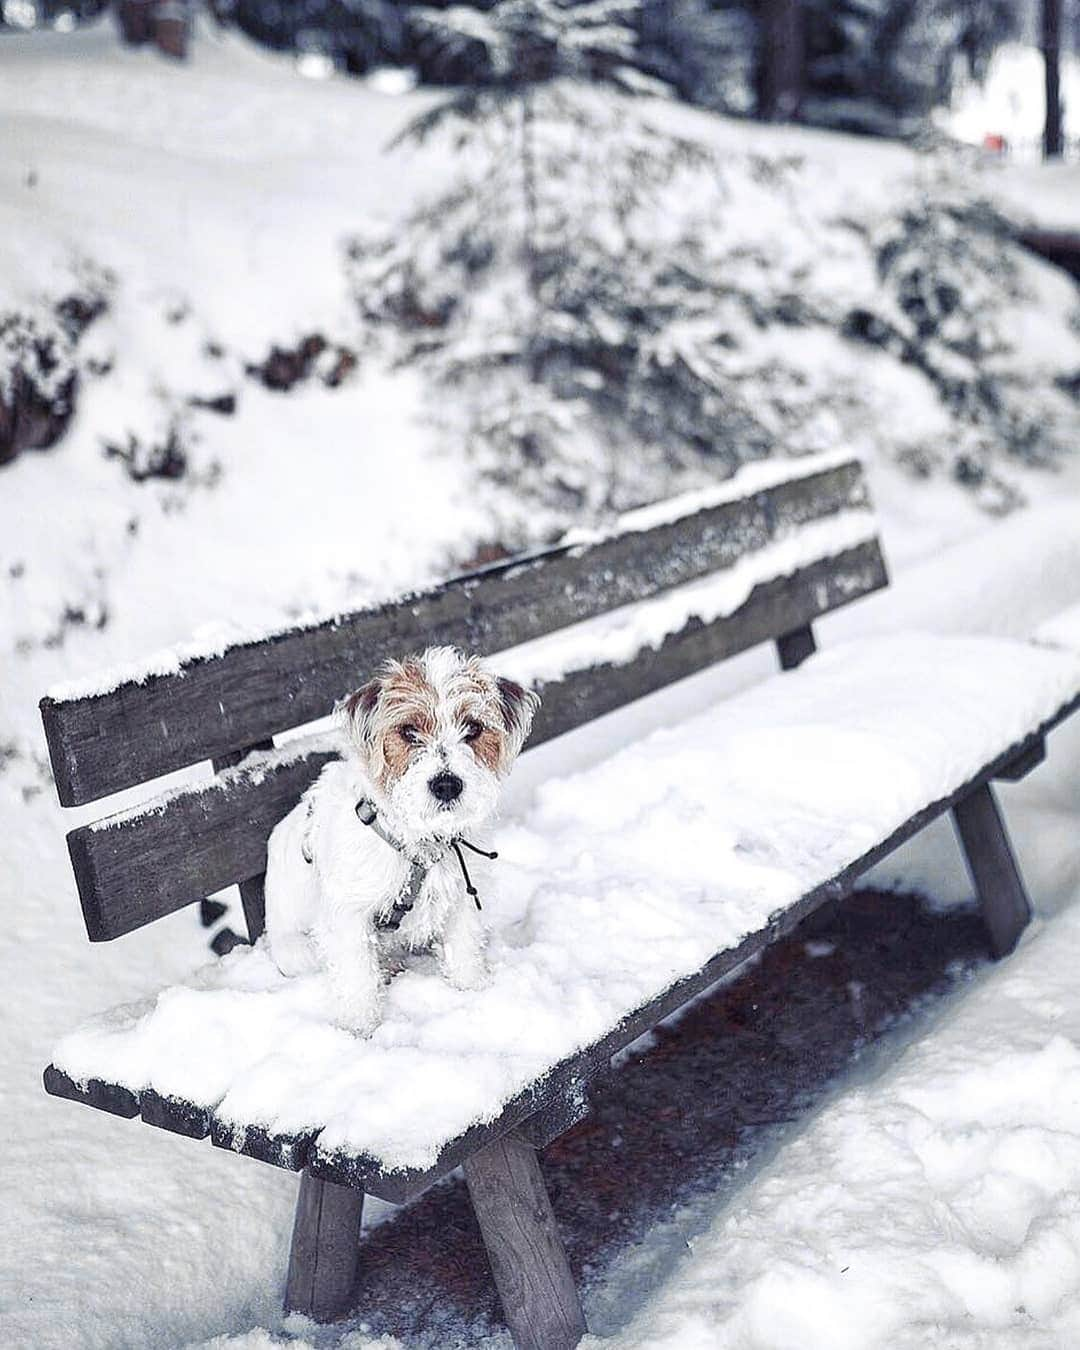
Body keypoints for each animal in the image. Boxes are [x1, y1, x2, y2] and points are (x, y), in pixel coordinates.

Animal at [265, 642, 540, 1031]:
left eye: (473, 728)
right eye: (409, 732)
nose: (446, 784)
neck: (421, 841)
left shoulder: (459, 898)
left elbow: (464, 952)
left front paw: (473, 993)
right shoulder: (348, 915)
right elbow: (357, 979)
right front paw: (360, 1029)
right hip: (298, 950)